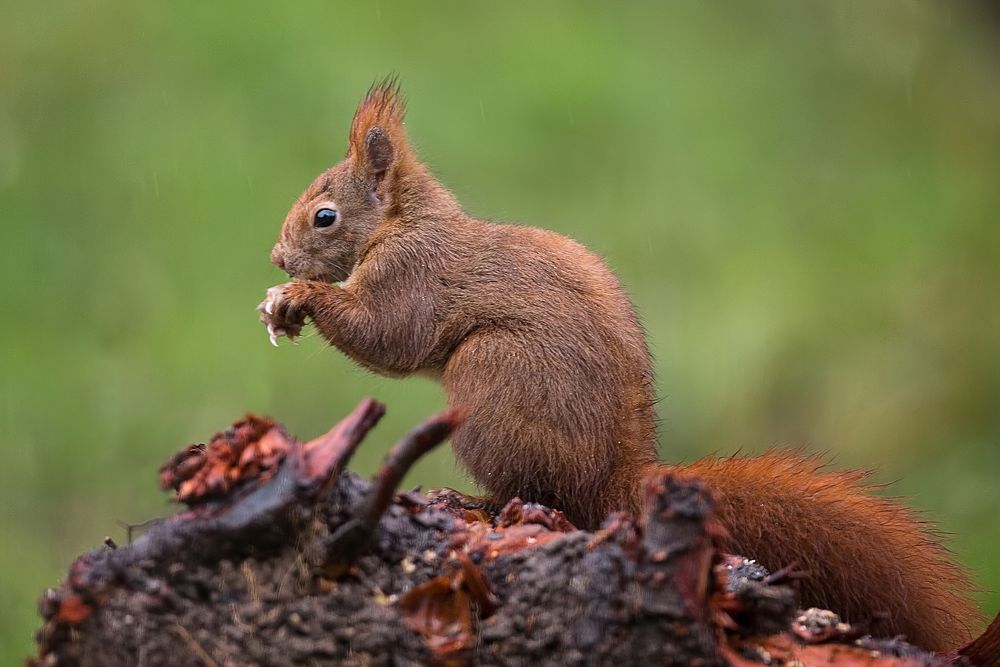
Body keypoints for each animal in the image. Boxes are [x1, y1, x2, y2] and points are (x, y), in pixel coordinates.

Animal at [260, 79, 984, 652]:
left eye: (325, 217)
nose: (275, 257)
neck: (404, 221)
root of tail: (616, 483)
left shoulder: (410, 276)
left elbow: (389, 338)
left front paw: (300, 296)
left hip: (490, 375)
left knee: (539, 494)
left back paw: (476, 500)